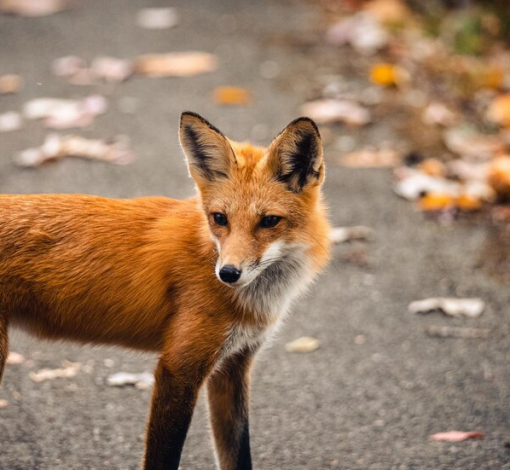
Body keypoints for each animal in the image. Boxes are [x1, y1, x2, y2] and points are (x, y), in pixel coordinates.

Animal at [0, 113, 330, 470]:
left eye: (269, 221)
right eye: (220, 218)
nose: (227, 273)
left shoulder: (234, 365)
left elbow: (237, 455)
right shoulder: (178, 368)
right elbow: (164, 457)